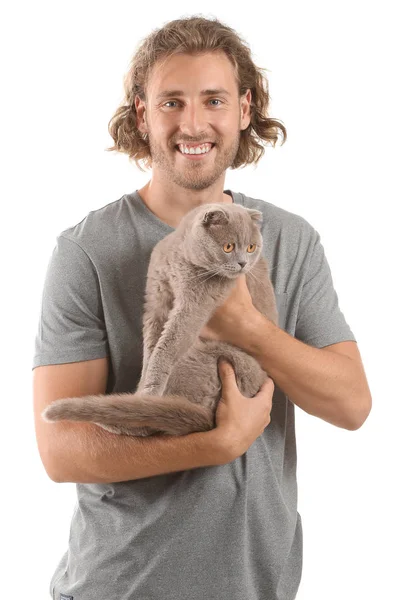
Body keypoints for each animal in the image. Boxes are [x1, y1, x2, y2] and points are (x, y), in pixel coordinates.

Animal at [41, 202, 276, 436]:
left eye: (251, 248)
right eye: (228, 247)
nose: (243, 263)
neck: (179, 259)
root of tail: (210, 420)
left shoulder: (194, 305)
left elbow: (166, 347)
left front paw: (149, 390)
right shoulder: (157, 297)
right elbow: (151, 345)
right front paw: (144, 382)